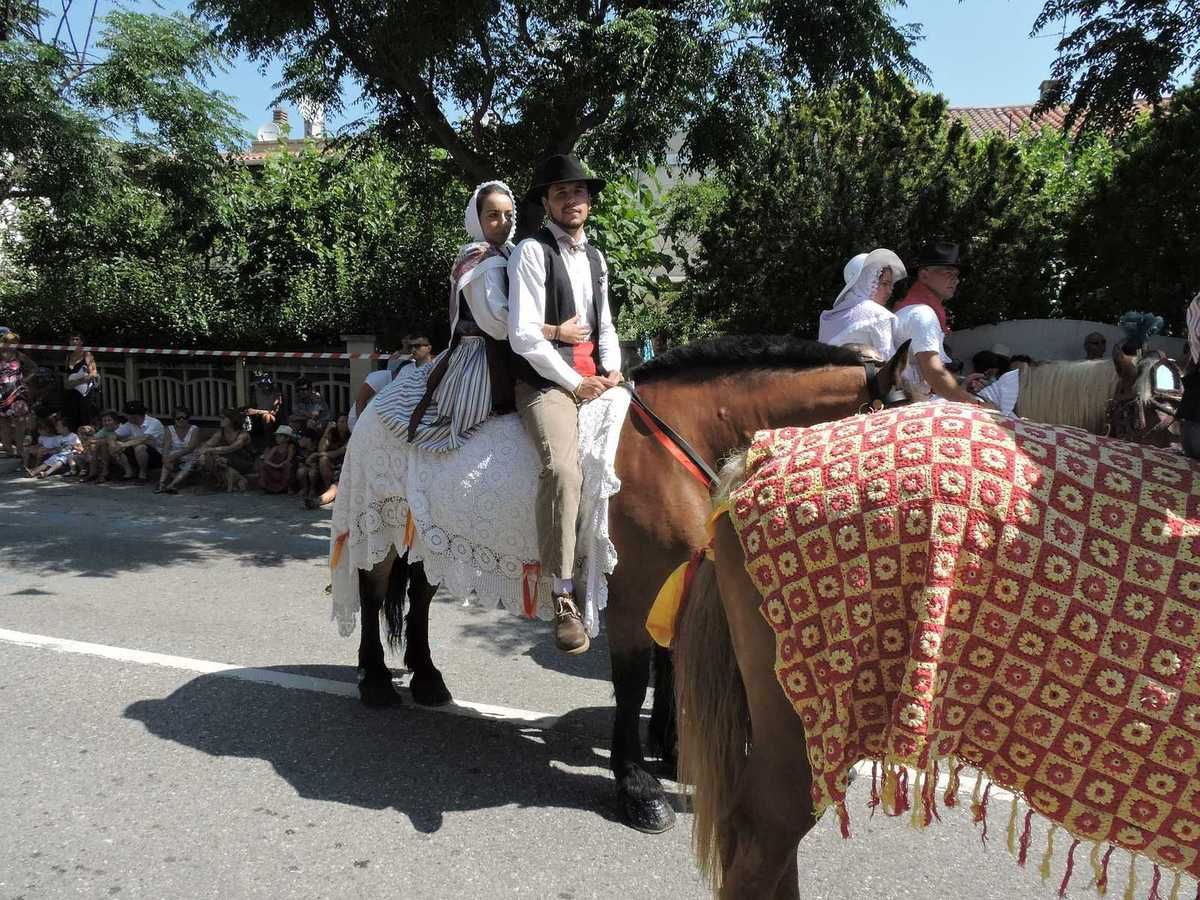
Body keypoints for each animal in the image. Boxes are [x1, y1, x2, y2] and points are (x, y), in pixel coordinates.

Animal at [348, 334, 912, 834]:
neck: (678, 444)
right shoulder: (630, 592)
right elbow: (632, 680)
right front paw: (638, 785)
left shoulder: (678, 579)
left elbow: (671, 664)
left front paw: (672, 747)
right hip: (379, 520)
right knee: (372, 592)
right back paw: (375, 679)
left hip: (429, 538)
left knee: (420, 597)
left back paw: (426, 677)